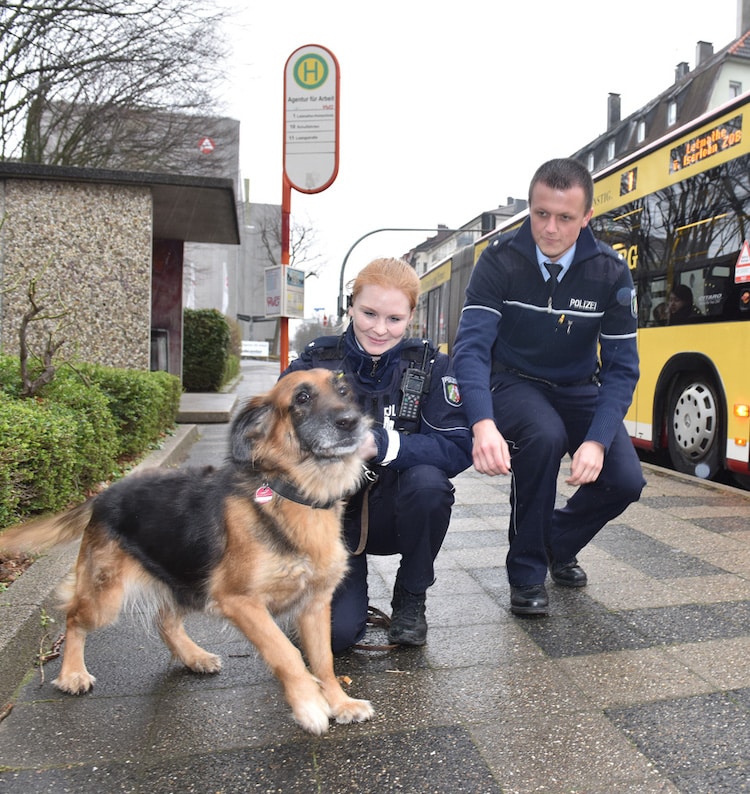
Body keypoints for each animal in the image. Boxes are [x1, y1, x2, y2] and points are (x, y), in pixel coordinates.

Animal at [0, 368, 376, 732]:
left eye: (344, 392)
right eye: (301, 398)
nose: (351, 421)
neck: (296, 493)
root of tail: (106, 493)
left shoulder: (315, 603)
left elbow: (324, 660)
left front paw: (339, 702)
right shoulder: (240, 601)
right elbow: (287, 653)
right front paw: (309, 703)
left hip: (188, 579)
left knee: (164, 620)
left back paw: (194, 656)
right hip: (106, 597)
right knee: (74, 618)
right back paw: (72, 674)